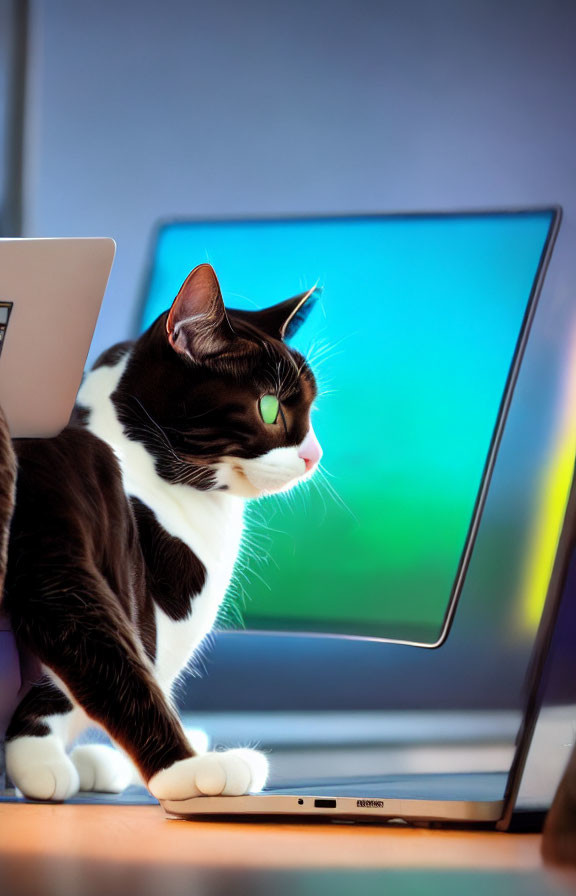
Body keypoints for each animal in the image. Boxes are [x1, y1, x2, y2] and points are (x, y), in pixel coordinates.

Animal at [0, 262, 324, 800]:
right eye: (270, 408)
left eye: (313, 409)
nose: (314, 456)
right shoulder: (52, 498)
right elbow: (95, 651)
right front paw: (188, 769)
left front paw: (94, 762)